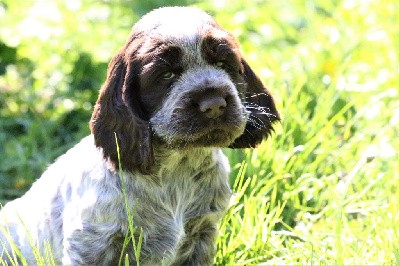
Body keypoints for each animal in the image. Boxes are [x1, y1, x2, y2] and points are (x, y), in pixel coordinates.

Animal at [0, 6, 280, 266]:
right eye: (166, 75)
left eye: (223, 64)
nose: (214, 105)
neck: (178, 166)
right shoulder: (91, 243)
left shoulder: (203, 233)